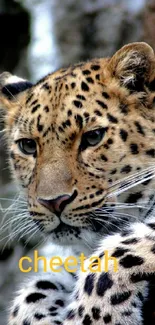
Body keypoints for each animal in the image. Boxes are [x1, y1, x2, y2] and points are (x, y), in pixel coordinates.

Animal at [0, 41, 155, 322]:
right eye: (28, 146)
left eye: (93, 137)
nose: (54, 202)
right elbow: (34, 291)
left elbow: (118, 251)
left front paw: (97, 316)